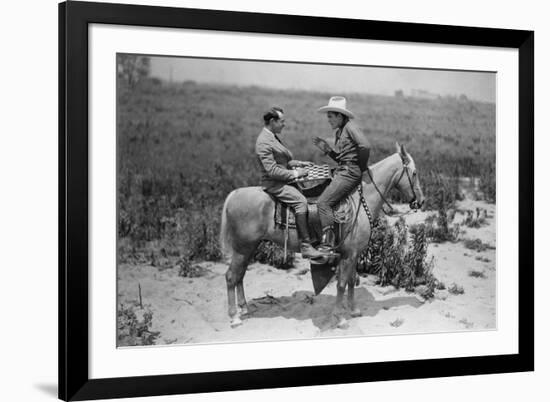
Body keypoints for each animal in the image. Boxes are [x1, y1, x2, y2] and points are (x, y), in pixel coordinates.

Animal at [220, 143, 426, 328]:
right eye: (414, 173)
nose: (421, 201)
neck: (362, 200)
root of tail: (234, 193)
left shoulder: (353, 254)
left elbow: (351, 281)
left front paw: (353, 310)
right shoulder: (349, 255)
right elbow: (342, 283)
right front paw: (340, 318)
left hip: (249, 247)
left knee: (240, 275)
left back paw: (244, 309)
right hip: (243, 248)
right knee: (231, 276)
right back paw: (234, 317)